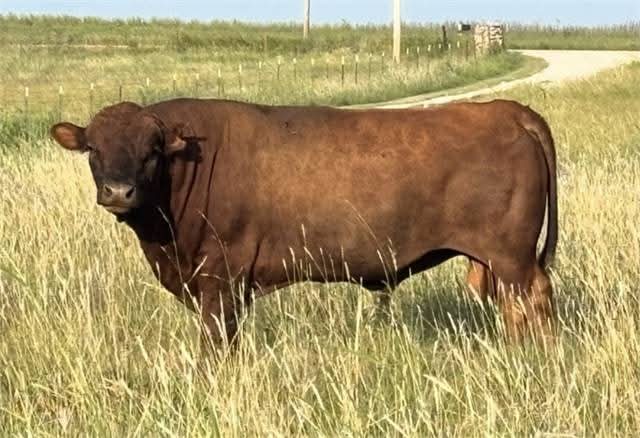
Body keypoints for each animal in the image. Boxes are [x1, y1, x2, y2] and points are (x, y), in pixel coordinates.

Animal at [50, 98, 558, 356]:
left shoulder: (220, 278)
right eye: (93, 148)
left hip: (511, 258)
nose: (118, 191)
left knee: (531, 304)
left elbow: (217, 342)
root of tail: (507, 109)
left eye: (152, 150)